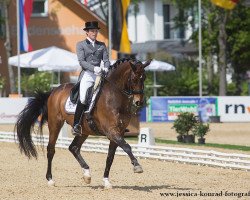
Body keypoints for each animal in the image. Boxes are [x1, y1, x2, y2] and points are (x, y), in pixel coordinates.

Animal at [15, 58, 151, 189]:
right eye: (133, 79)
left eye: (144, 77)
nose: (139, 102)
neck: (115, 97)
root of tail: (54, 90)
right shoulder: (111, 131)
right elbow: (127, 146)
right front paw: (137, 166)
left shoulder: (119, 132)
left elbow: (110, 157)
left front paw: (106, 181)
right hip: (55, 124)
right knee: (51, 149)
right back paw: (50, 180)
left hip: (83, 130)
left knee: (74, 147)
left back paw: (87, 174)